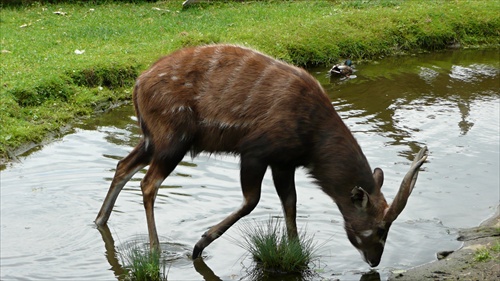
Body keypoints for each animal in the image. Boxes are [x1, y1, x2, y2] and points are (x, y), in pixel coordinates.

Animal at [95, 44, 428, 266]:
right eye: (381, 228)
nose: (374, 261)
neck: (313, 137)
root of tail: (138, 85)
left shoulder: (284, 162)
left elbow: (290, 203)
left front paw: (295, 251)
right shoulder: (256, 151)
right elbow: (252, 200)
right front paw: (199, 245)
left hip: (153, 139)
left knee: (123, 165)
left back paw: (100, 221)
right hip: (173, 139)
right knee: (148, 183)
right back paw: (155, 250)